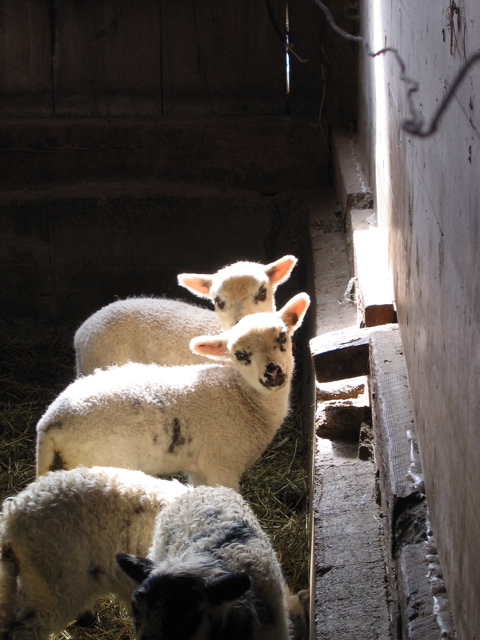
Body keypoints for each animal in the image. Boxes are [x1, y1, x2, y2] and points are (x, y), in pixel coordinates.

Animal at [36, 293, 310, 491]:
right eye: (240, 355)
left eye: (282, 337)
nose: (273, 372)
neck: (242, 396)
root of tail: (49, 423)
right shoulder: (223, 466)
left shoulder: (199, 470)